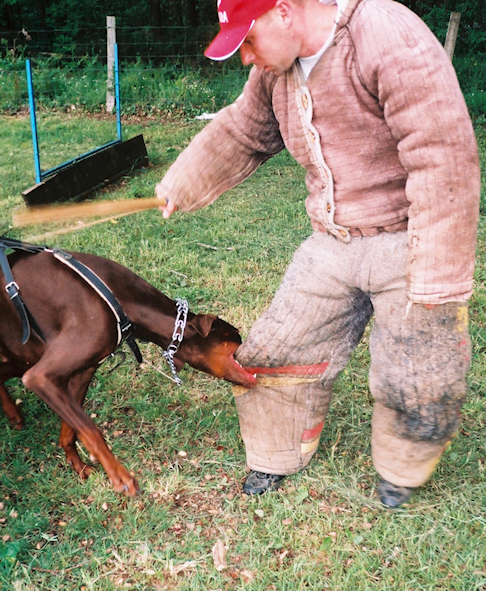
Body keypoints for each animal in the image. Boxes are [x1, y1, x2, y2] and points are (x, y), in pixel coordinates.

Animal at [0, 247, 258, 498]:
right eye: (236, 334)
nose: (253, 343)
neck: (120, 300)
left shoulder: (83, 371)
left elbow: (70, 428)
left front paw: (78, 464)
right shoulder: (41, 376)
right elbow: (90, 429)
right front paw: (120, 477)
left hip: (21, 354)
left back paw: (13, 413)